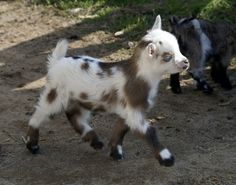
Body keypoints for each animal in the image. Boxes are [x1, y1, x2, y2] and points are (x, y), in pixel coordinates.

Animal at [23, 15, 189, 167]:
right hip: (55, 94)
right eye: (168, 56)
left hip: (79, 99)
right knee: (40, 114)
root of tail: (56, 62)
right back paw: (32, 145)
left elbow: (120, 130)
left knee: (74, 116)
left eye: (179, 49)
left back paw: (95, 140)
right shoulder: (133, 111)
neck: (139, 75)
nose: (185, 62)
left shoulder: (127, 111)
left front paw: (115, 153)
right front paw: (167, 158)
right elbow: (149, 132)